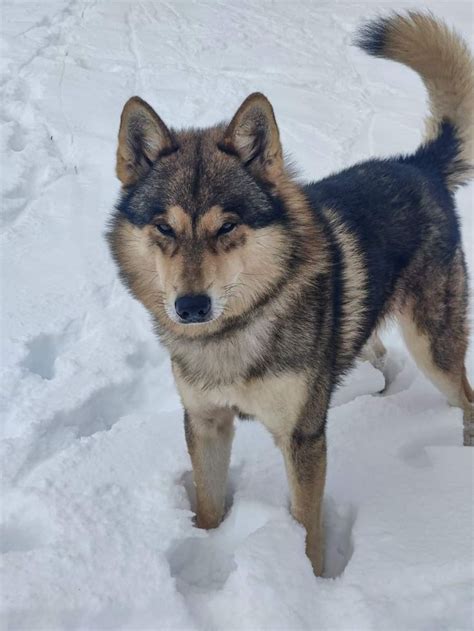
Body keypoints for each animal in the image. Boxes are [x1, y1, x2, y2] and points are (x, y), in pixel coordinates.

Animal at [108, 13, 474, 576]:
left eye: (227, 226)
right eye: (164, 228)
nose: (191, 307)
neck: (235, 332)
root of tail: (420, 164)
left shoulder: (301, 438)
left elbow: (306, 527)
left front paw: (310, 583)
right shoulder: (206, 422)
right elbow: (208, 507)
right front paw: (205, 554)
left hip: (434, 348)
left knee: (466, 397)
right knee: (375, 349)